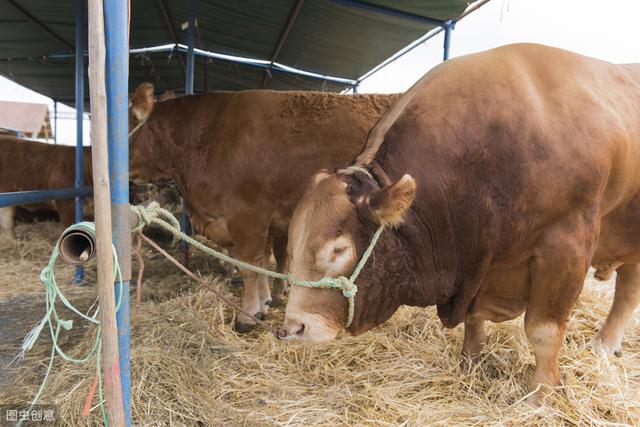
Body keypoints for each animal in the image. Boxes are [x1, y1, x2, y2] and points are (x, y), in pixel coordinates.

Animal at [128, 83, 400, 332]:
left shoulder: (246, 216)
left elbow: (250, 266)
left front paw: (247, 316)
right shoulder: (264, 223)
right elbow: (262, 264)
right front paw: (264, 303)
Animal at [282, 44, 640, 404]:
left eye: (337, 250)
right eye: (292, 246)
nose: (294, 327)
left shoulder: (565, 246)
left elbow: (543, 331)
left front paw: (540, 395)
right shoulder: (478, 264)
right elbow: (474, 318)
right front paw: (470, 363)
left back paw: (603, 346)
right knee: (628, 289)